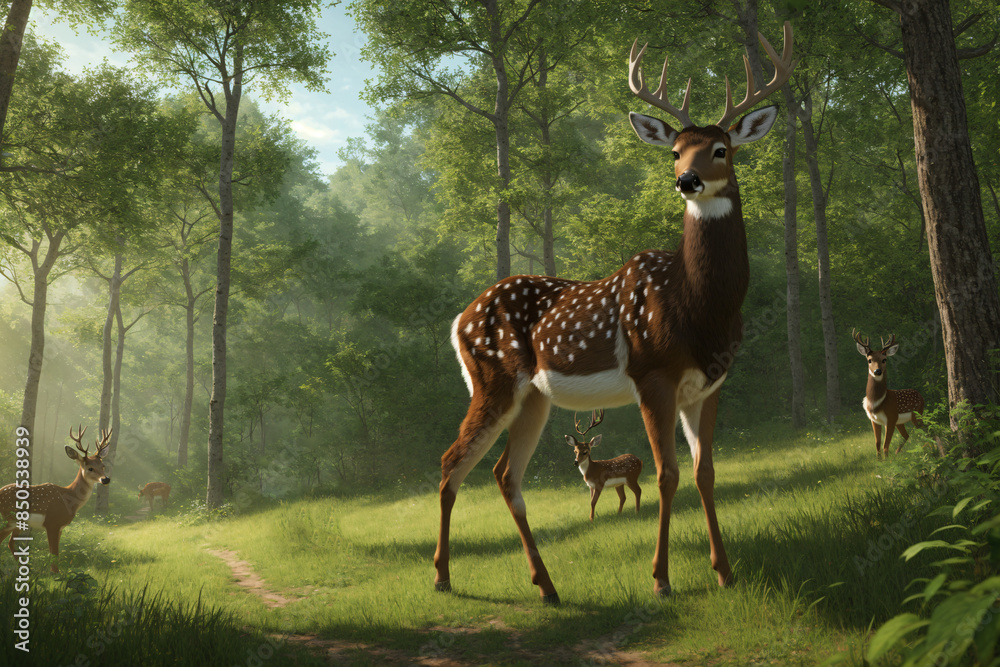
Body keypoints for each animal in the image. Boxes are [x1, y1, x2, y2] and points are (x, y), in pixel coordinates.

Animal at [0, 426, 111, 572]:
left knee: (10, 542)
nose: (105, 479)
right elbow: (54, 553)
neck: (69, 498)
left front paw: (55, 572)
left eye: (103, 466)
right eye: (90, 468)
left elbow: (55, 554)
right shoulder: (52, 523)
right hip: (10, 519)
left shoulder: (60, 527)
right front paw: (55, 574)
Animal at [433, 22, 796, 603]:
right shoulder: (653, 375)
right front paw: (662, 580)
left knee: (505, 473)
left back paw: (546, 586)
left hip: (534, 397)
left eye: (721, 148)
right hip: (493, 378)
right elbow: (669, 474)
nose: (687, 180)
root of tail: (458, 319)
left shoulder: (710, 384)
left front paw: (725, 571)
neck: (698, 310)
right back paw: (444, 577)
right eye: (675, 150)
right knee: (453, 462)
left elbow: (706, 472)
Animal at [853, 330, 925, 458]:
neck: (877, 402)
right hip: (900, 422)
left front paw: (887, 461)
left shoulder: (891, 418)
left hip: (916, 414)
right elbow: (877, 444)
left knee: (925, 430)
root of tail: (921, 395)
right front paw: (880, 461)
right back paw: (898, 452)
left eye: (884, 359)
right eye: (869, 360)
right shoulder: (874, 420)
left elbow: (885, 445)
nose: (877, 371)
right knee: (908, 435)